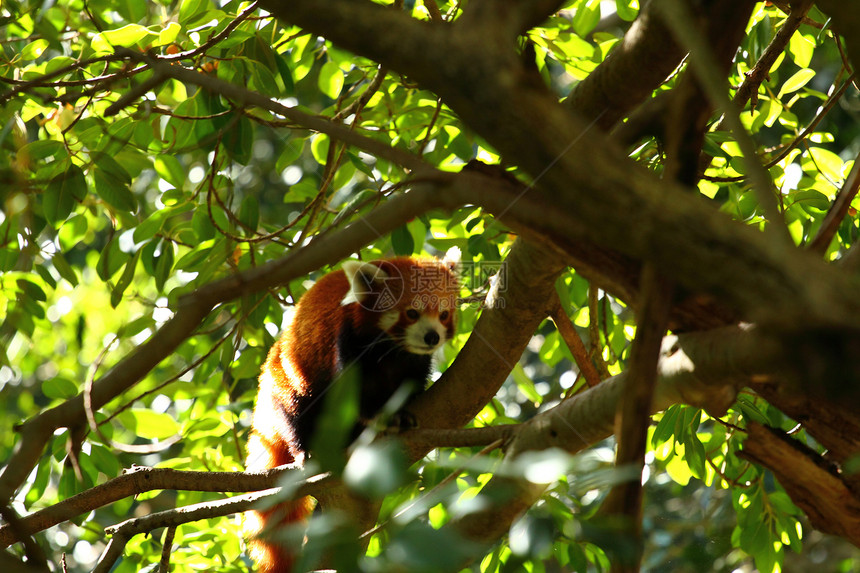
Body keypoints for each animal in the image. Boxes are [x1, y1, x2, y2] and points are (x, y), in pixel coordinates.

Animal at [242, 250, 460, 572]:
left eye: (443, 314)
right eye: (412, 313)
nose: (432, 336)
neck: (392, 349)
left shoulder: (414, 361)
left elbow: (412, 379)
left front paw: (404, 408)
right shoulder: (348, 339)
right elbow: (356, 394)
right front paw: (383, 416)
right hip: (287, 379)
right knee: (295, 414)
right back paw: (307, 449)